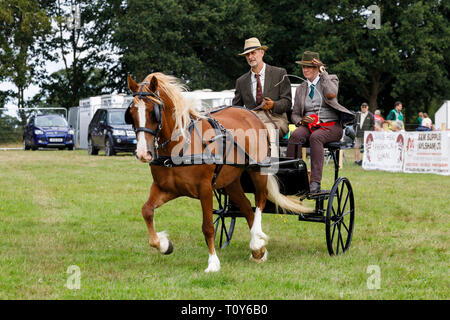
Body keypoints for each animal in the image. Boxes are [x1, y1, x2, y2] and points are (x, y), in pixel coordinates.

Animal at [125, 72, 312, 272]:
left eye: (153, 112)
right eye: (131, 114)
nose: (143, 153)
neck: (181, 144)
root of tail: (252, 114)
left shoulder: (205, 188)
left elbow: (208, 227)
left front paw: (213, 263)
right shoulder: (166, 188)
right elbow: (146, 211)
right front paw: (164, 245)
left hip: (258, 171)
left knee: (260, 201)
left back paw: (256, 241)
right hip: (231, 181)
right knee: (247, 208)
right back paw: (258, 250)